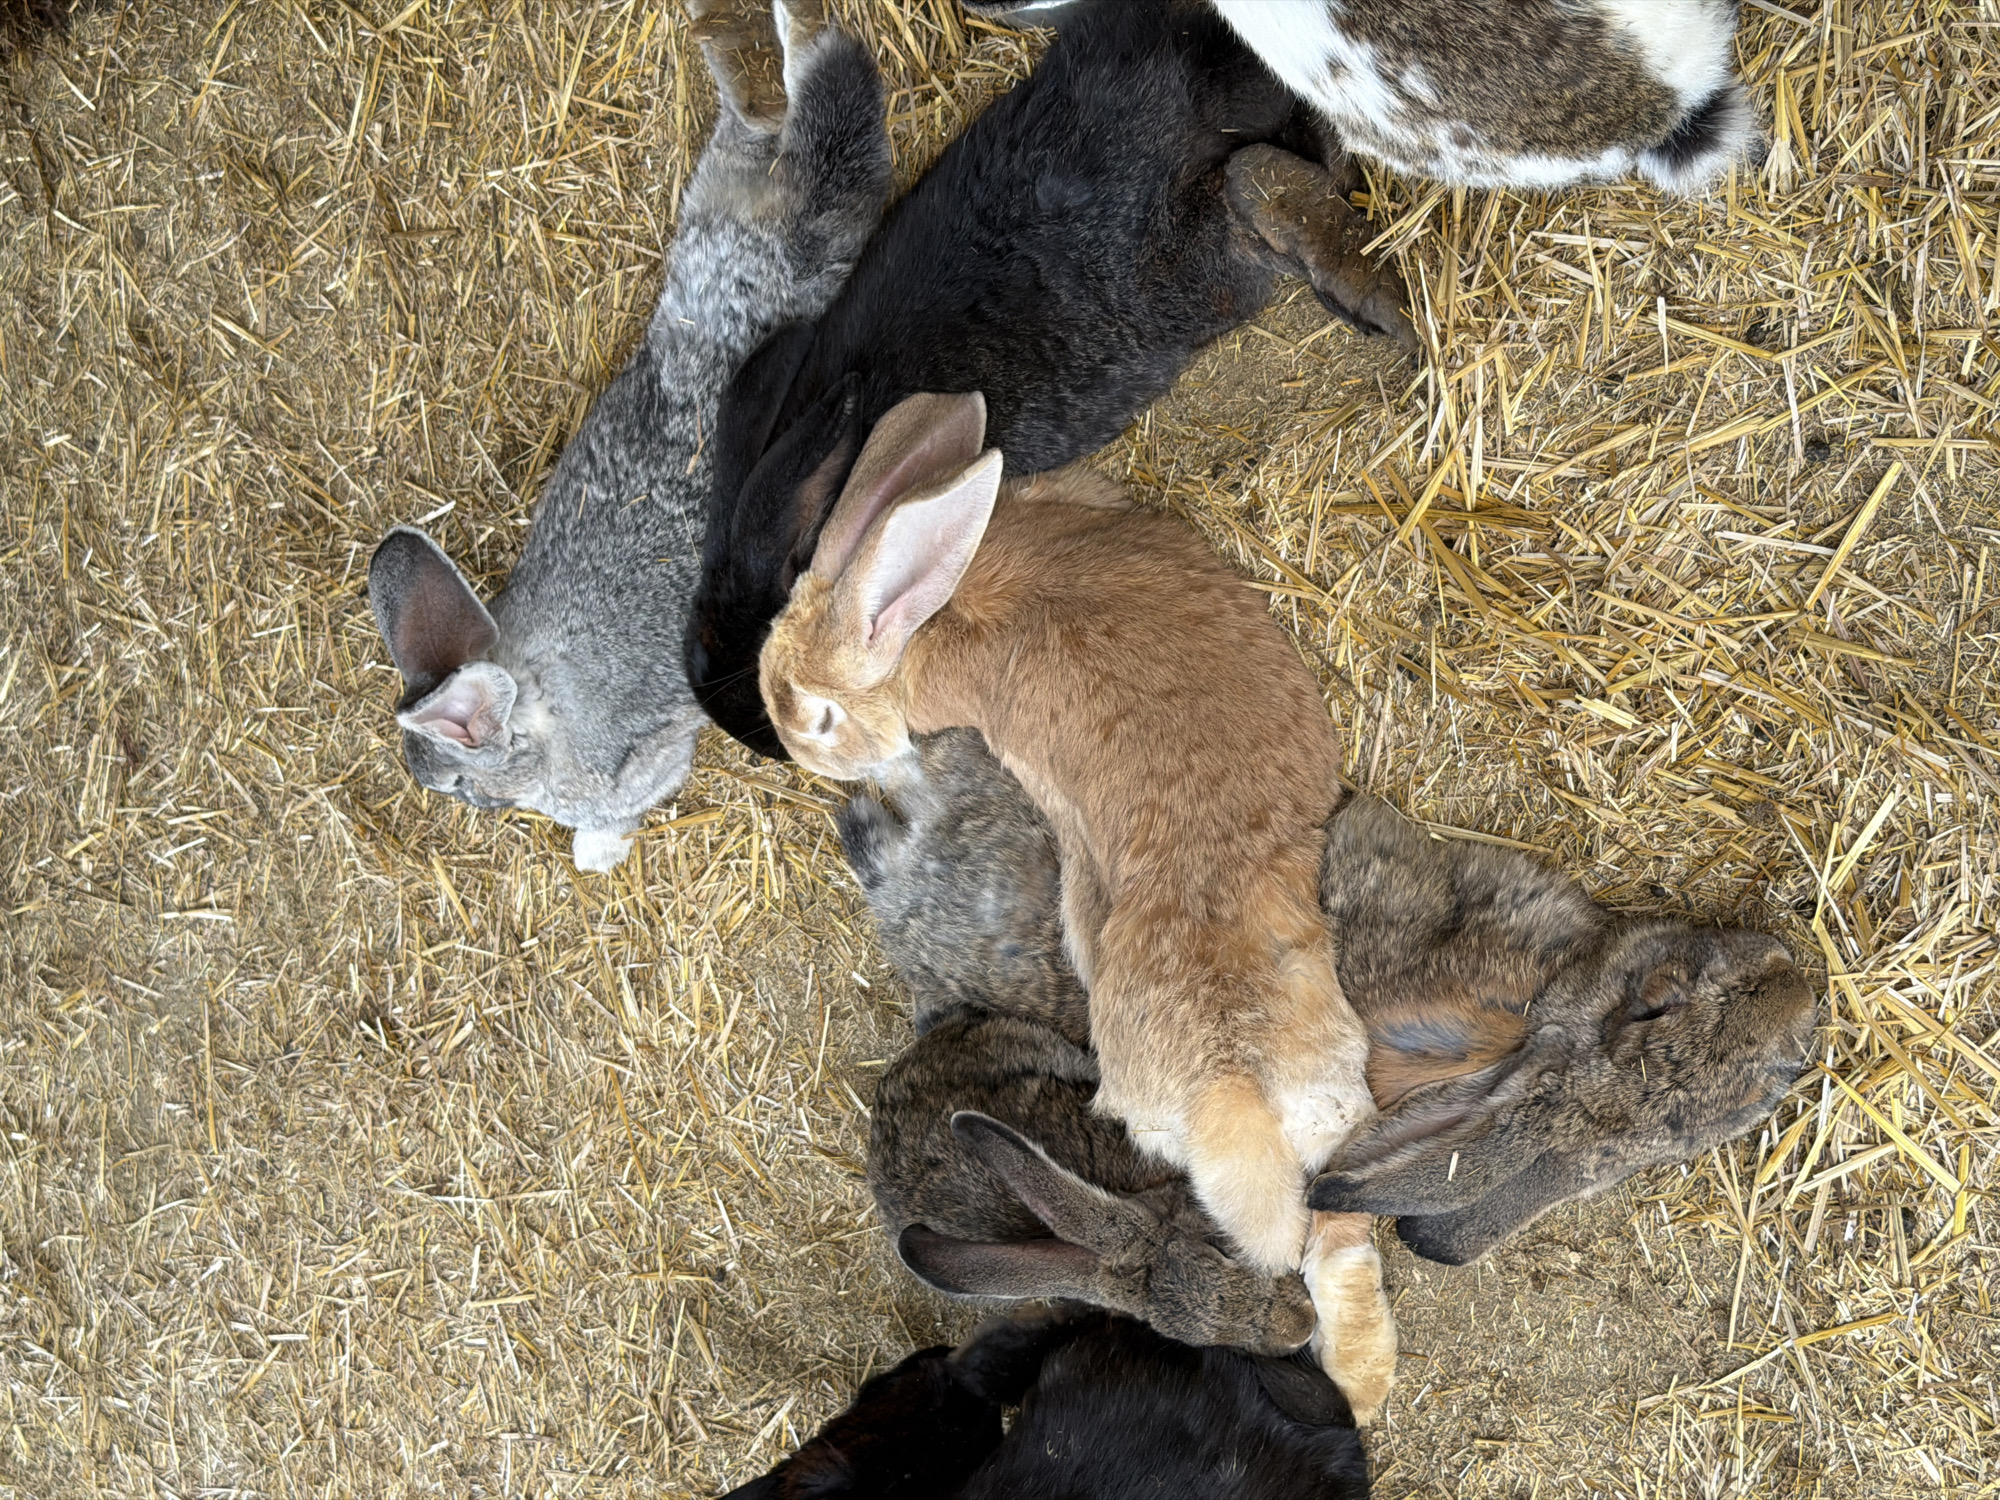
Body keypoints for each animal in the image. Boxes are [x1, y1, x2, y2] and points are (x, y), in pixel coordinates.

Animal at [364, 0, 891, 871]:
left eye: (461, 782)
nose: (452, 800)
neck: (543, 706)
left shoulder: (648, 759)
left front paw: (597, 853)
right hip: (723, 191)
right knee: (777, 120)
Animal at [757, 393, 1396, 1421]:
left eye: (813, 714)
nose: (795, 749)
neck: (930, 609)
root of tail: (1230, 1080)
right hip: (1331, 1102)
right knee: (1335, 1230)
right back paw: (1363, 1377)